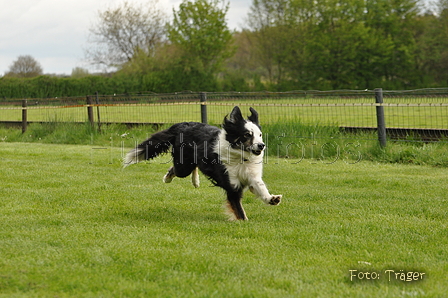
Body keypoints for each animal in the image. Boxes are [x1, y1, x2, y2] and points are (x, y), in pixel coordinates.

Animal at [124, 106, 282, 220]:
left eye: (260, 135)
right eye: (247, 135)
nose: (262, 145)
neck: (240, 157)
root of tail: (181, 124)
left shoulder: (252, 175)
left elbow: (260, 187)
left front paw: (271, 199)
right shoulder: (232, 185)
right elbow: (239, 209)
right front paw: (243, 222)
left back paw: (195, 181)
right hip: (183, 167)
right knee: (177, 169)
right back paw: (169, 178)